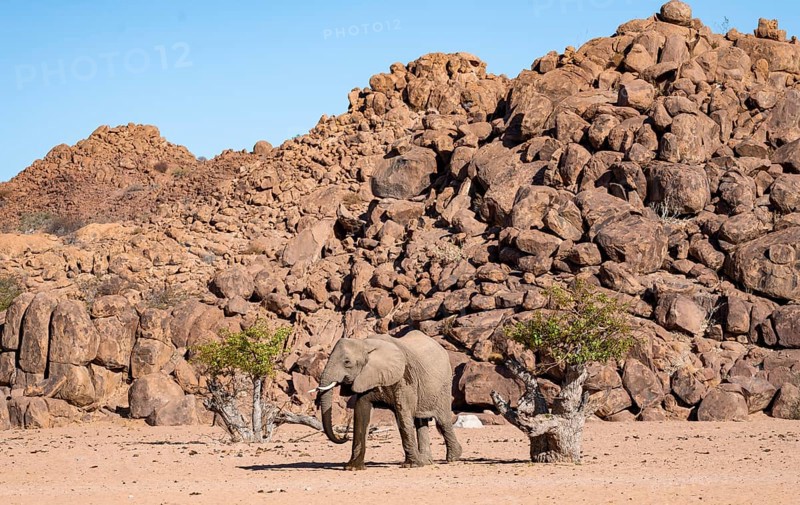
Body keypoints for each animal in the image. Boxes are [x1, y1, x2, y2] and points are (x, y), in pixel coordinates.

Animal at [313, 330, 462, 470]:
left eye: (347, 362)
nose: (344, 437)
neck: (365, 344)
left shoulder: (403, 379)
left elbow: (402, 414)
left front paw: (411, 465)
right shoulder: (366, 377)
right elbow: (361, 412)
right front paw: (353, 467)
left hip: (444, 385)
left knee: (443, 420)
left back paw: (453, 458)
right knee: (421, 421)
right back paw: (426, 462)